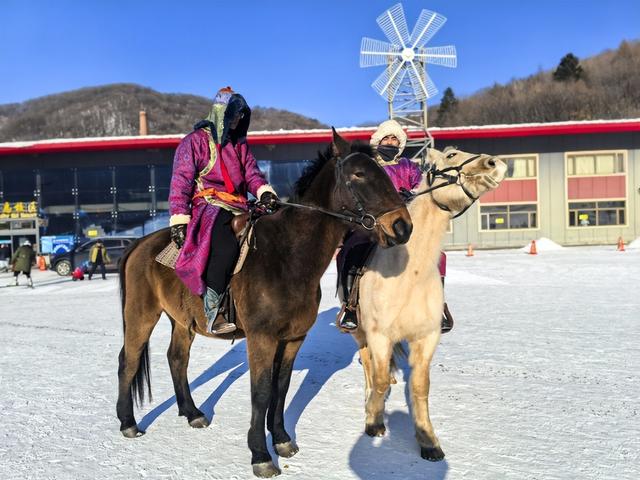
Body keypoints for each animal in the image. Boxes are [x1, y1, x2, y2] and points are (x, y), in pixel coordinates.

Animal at [116, 130, 413, 478]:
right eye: (359, 174)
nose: (402, 226)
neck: (288, 255)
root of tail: (139, 244)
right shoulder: (262, 338)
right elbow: (260, 392)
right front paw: (260, 454)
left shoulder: (293, 338)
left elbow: (280, 388)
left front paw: (282, 439)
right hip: (141, 316)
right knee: (128, 361)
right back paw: (128, 422)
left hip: (181, 322)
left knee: (177, 359)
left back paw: (192, 413)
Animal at [351, 147, 507, 461]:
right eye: (451, 154)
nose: (496, 164)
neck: (409, 277)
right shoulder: (378, 335)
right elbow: (379, 377)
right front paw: (373, 420)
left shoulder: (427, 337)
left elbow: (420, 387)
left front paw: (427, 440)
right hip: (358, 329)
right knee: (368, 364)